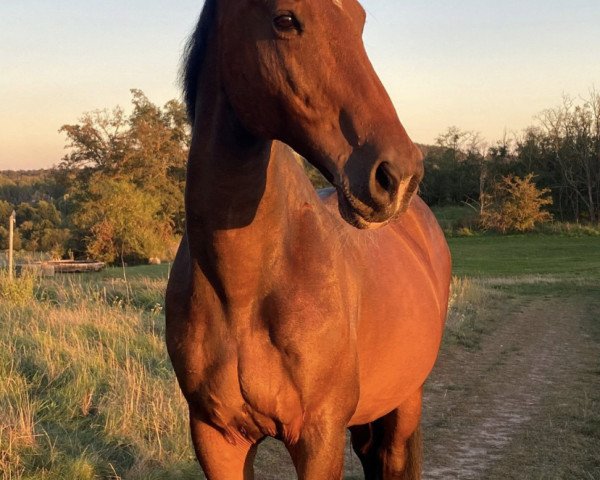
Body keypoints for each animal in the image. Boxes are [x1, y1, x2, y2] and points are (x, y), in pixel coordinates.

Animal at [165, 1, 450, 478]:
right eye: (285, 20)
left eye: (360, 21)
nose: (398, 174)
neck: (243, 292)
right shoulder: (215, 437)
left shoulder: (319, 435)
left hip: (405, 401)